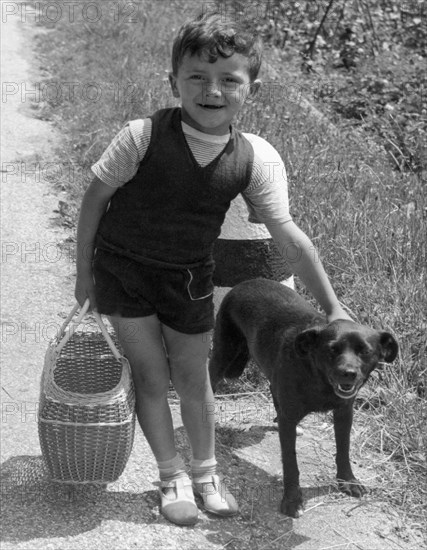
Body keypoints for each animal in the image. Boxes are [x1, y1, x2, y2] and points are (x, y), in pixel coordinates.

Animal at [209, 278, 400, 520]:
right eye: (332, 349)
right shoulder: (289, 419)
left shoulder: (344, 412)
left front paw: (347, 480)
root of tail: (245, 282)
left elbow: (343, 449)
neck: (318, 377)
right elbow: (290, 462)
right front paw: (292, 500)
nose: (347, 373)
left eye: (364, 351)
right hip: (224, 357)